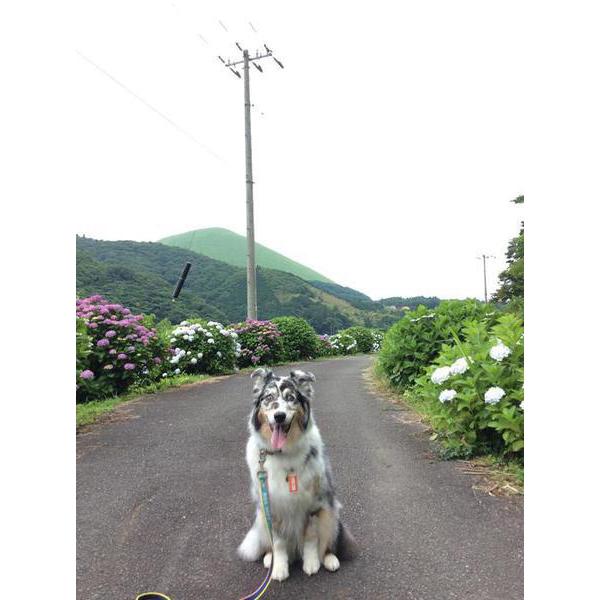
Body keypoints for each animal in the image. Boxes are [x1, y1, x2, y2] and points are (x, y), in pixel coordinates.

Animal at [236, 368, 356, 580]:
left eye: (291, 398)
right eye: (268, 398)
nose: (279, 416)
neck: (283, 452)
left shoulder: (314, 503)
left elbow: (311, 537)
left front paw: (312, 563)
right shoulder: (272, 507)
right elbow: (278, 542)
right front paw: (279, 567)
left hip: (330, 514)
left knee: (328, 542)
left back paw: (329, 559)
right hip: (260, 518)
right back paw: (269, 558)